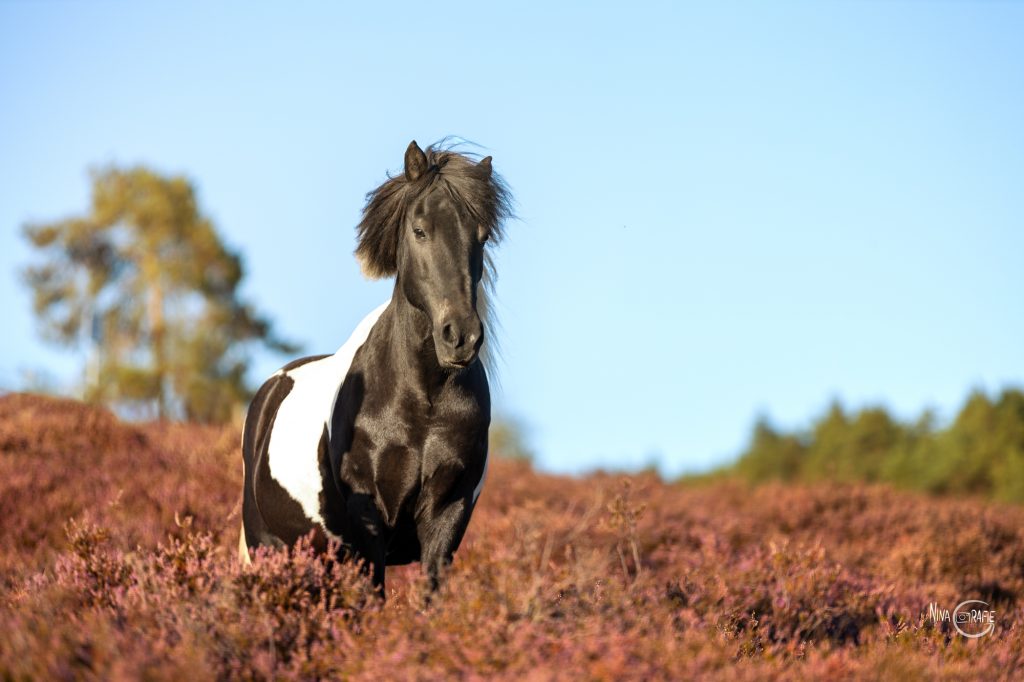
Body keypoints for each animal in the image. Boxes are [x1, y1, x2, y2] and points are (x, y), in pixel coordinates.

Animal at [238, 140, 512, 594]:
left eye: (483, 236)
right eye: (419, 230)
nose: (461, 336)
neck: (423, 400)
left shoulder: (447, 516)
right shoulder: (370, 520)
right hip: (270, 549)